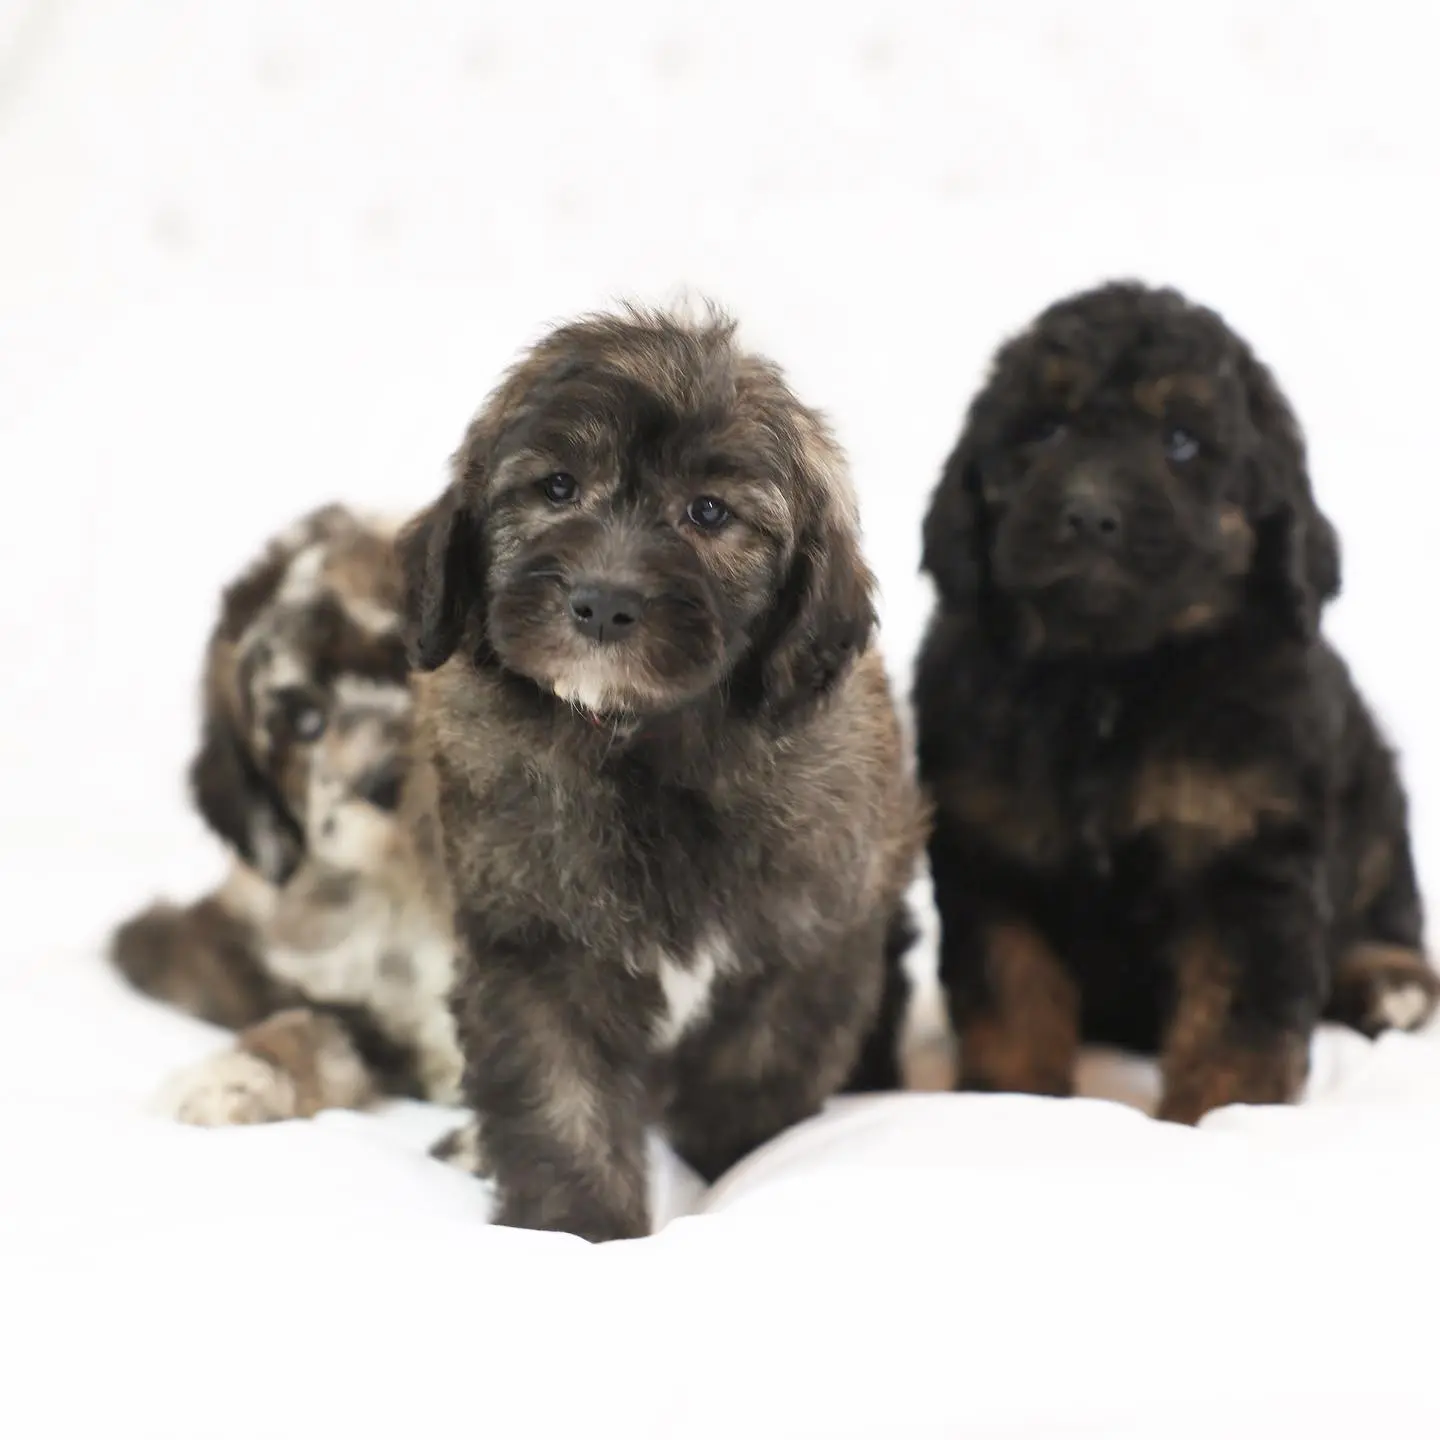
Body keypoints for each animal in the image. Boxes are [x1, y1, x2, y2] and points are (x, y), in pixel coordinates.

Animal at [400, 300, 927, 1238]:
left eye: (709, 513)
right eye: (558, 488)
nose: (602, 604)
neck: (642, 743)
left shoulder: (805, 949)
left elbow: (753, 1082)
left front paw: (735, 1178)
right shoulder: (537, 949)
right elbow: (560, 1105)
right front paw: (578, 1228)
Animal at [915, 280, 1434, 1128]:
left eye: (1182, 441)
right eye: (1045, 428)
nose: (1090, 512)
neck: (1112, 678)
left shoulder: (1248, 857)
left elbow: (1236, 1009)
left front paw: (1220, 1111)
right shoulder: (989, 856)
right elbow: (1010, 988)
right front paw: (1015, 1098)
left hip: (1376, 796)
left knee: (1384, 908)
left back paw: (1390, 983)